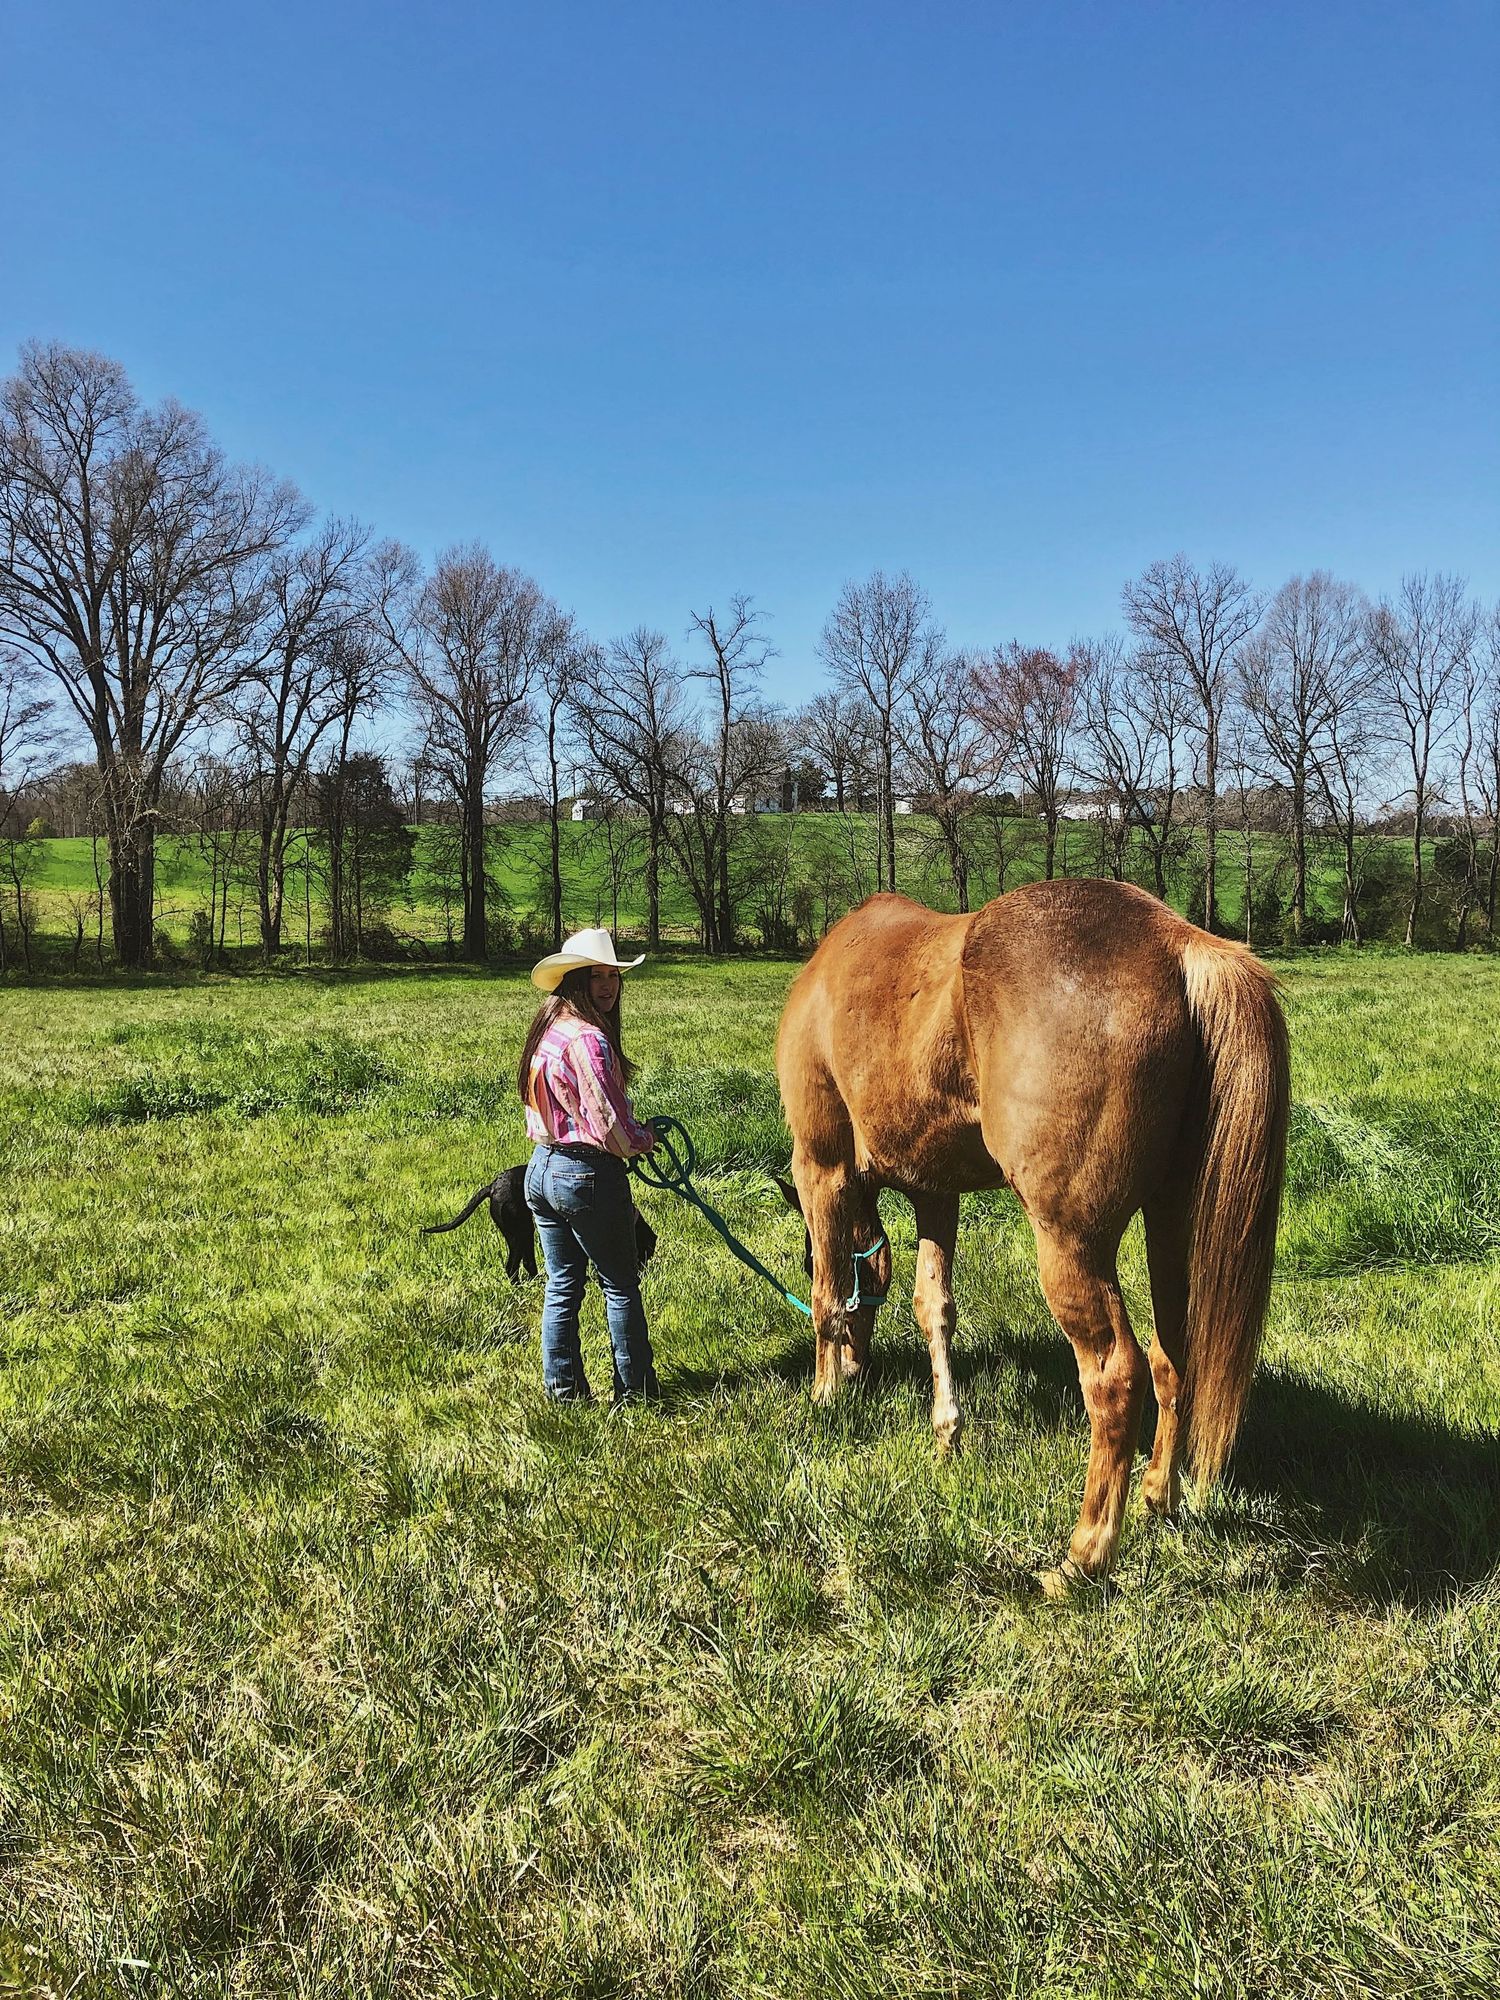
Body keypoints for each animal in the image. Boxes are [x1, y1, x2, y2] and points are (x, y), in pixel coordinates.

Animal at [774, 876, 1289, 1586]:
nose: (857, 1374)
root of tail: (1179, 943)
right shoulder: (936, 1193)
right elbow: (932, 1306)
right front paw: (945, 1429)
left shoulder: (821, 1167)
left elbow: (828, 1295)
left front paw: (825, 1396)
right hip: (1172, 1228)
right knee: (1172, 1356)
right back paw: (1157, 1496)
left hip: (1070, 1244)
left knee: (1116, 1375)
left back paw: (1084, 1555)